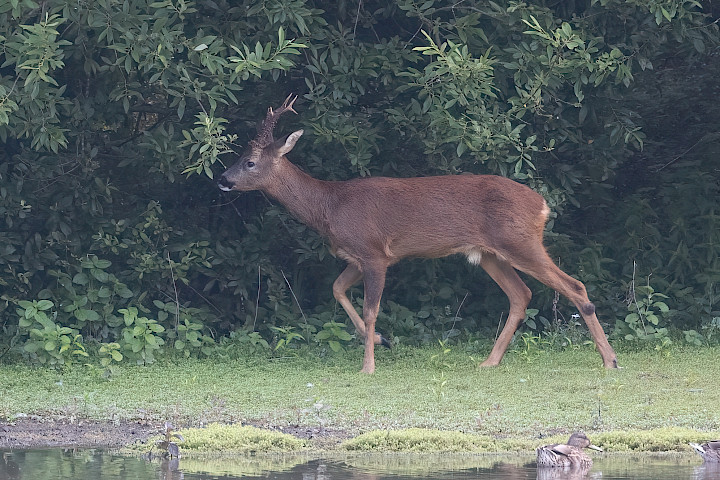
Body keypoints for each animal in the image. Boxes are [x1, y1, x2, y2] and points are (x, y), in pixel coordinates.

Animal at [217, 95, 618, 374]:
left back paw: (609, 360)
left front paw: (368, 366)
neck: (329, 207)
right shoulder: (356, 256)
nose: (223, 179)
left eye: (249, 162)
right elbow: (337, 290)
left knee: (574, 286)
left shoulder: (375, 253)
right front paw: (382, 340)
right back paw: (489, 362)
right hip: (490, 253)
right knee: (522, 294)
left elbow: (371, 309)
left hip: (520, 241)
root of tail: (542, 205)